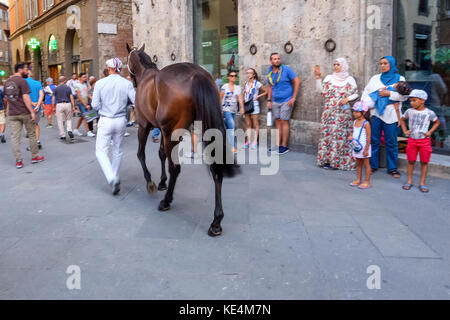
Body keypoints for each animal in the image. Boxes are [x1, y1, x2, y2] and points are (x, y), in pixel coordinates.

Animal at [125, 43, 239, 236]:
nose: (131, 80)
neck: (146, 74)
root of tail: (197, 74)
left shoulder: (144, 126)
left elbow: (141, 154)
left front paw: (151, 182)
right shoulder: (161, 130)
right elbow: (161, 154)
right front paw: (162, 181)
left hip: (172, 132)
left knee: (175, 168)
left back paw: (166, 201)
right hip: (204, 128)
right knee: (216, 170)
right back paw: (216, 221)